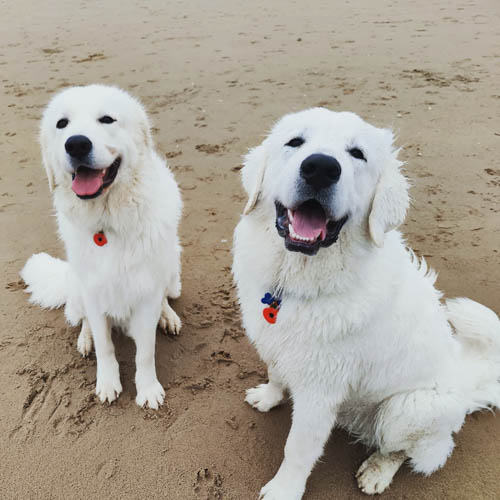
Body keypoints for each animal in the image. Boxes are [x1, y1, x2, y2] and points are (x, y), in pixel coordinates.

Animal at [21, 84, 184, 408]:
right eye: (62, 124)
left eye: (107, 119)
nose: (76, 144)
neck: (107, 222)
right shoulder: (94, 292)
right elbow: (104, 344)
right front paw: (107, 383)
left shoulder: (146, 292)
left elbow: (145, 351)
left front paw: (148, 389)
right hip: (77, 286)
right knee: (83, 320)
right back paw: (85, 340)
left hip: (172, 273)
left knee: (166, 298)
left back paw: (168, 317)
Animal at [233, 107, 500, 498]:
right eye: (295, 142)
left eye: (357, 154)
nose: (321, 167)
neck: (299, 280)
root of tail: (467, 384)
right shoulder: (279, 346)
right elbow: (276, 373)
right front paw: (269, 396)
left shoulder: (319, 391)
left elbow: (298, 449)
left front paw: (285, 489)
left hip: (405, 409)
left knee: (405, 450)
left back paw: (377, 471)